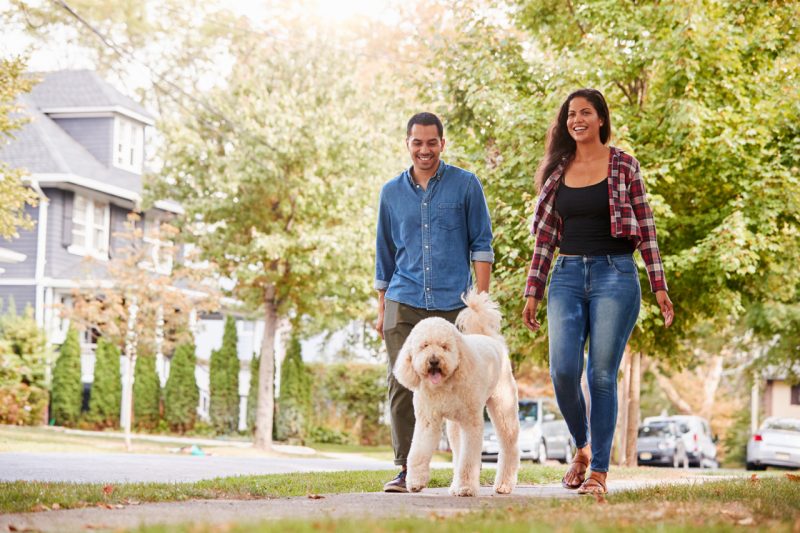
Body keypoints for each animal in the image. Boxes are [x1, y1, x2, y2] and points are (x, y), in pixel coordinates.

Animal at [392, 288, 520, 496]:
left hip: (503, 408)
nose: (433, 361)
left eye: (445, 346)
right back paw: (455, 485)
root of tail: (491, 339)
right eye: (424, 345)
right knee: (458, 450)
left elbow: (469, 460)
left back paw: (504, 484)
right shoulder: (428, 420)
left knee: (509, 446)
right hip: (454, 425)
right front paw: (415, 481)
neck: (444, 385)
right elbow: (419, 451)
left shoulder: (471, 423)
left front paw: (466, 487)